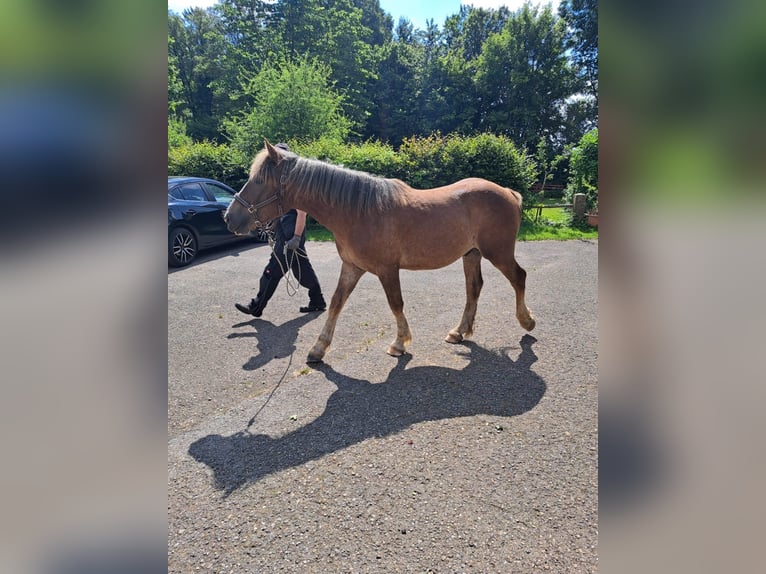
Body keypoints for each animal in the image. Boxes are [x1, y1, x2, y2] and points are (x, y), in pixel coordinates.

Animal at [222, 141, 536, 364]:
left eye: (259, 180)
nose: (229, 217)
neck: (359, 212)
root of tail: (508, 192)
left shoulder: (387, 270)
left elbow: (395, 304)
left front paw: (399, 344)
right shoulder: (352, 267)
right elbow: (335, 304)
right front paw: (318, 349)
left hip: (498, 252)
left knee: (519, 277)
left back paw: (527, 321)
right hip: (471, 254)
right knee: (474, 288)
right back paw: (459, 332)